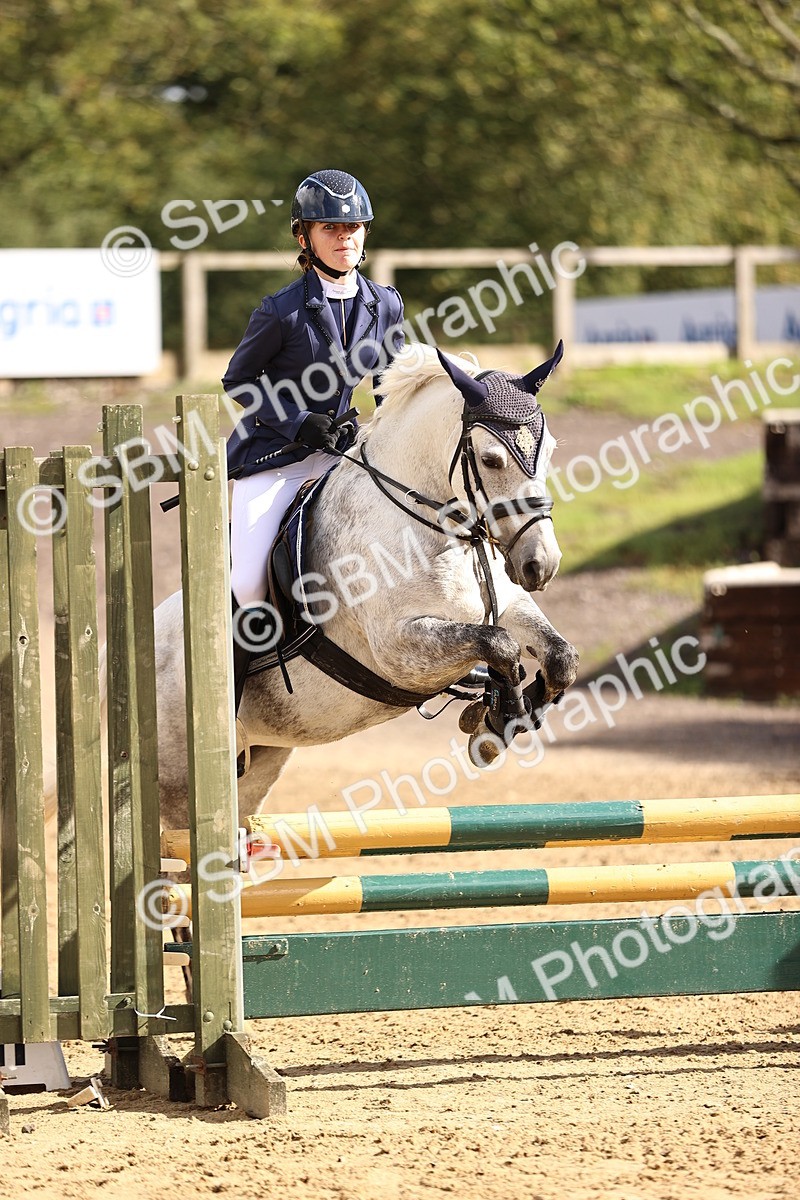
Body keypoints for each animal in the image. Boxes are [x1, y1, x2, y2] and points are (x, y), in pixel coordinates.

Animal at [153, 342, 579, 833]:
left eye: (549, 451)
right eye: (491, 459)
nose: (541, 564)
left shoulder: (504, 604)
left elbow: (558, 656)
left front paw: (506, 713)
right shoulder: (399, 649)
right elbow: (500, 645)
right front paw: (499, 715)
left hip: (261, 760)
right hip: (180, 785)